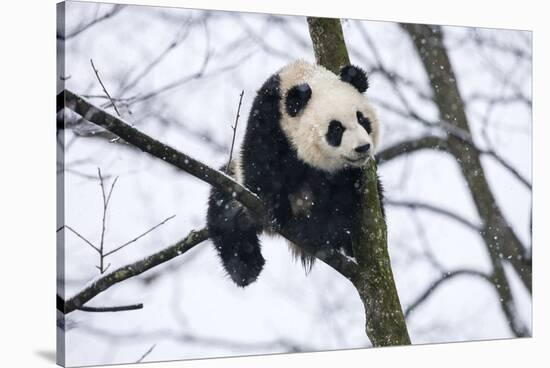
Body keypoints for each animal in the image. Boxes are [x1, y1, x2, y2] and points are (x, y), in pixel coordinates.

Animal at [207, 59, 384, 286]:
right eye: (336, 129)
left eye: (362, 120)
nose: (362, 148)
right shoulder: (268, 116)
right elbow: (260, 165)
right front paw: (276, 210)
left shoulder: (351, 174)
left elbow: (342, 200)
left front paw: (313, 231)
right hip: (235, 184)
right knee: (225, 214)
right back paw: (245, 266)